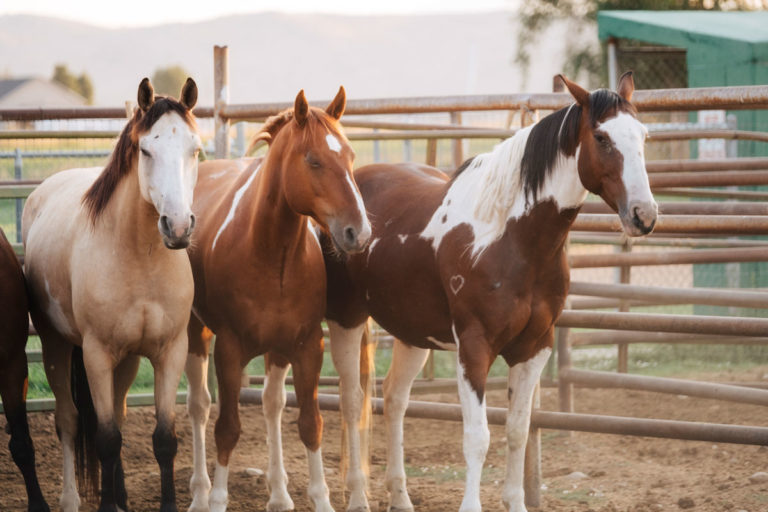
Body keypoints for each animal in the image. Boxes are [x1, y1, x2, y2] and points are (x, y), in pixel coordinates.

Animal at [22, 77, 201, 512]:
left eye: (195, 149)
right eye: (146, 149)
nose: (178, 227)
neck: (140, 257)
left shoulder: (169, 352)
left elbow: (163, 440)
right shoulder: (97, 355)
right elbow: (105, 440)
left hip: (128, 361)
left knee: (117, 415)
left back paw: (119, 496)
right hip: (55, 347)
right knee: (69, 421)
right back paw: (71, 498)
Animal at [184, 86, 370, 512]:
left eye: (351, 156)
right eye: (314, 160)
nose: (359, 232)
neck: (271, 253)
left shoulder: (306, 347)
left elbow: (310, 424)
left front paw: (320, 499)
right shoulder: (229, 350)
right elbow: (228, 428)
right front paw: (218, 499)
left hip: (277, 349)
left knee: (271, 404)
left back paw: (280, 495)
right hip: (195, 333)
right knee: (199, 406)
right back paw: (200, 492)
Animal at [322, 72, 657, 512]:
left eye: (643, 135)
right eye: (601, 137)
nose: (644, 215)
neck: (510, 236)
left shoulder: (535, 348)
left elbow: (517, 430)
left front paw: (516, 502)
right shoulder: (474, 348)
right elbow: (477, 438)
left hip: (413, 334)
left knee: (394, 400)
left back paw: (401, 498)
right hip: (345, 320)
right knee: (351, 400)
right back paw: (359, 496)